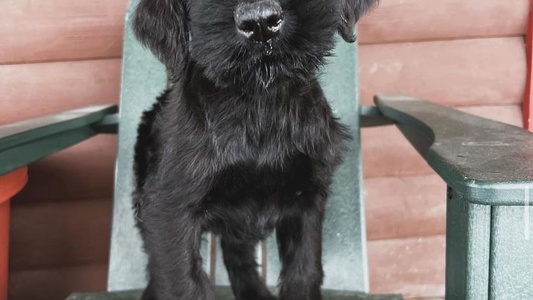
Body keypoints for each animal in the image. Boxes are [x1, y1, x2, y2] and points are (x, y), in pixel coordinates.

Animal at [131, 1, 376, 298]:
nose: (260, 21)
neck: (259, 102)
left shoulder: (308, 199)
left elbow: (304, 271)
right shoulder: (169, 209)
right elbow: (183, 282)